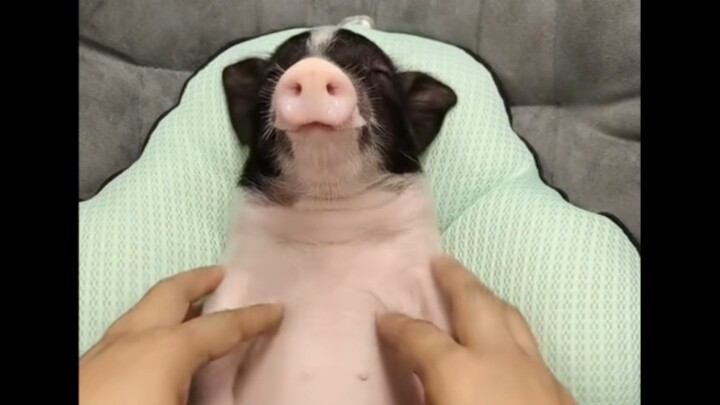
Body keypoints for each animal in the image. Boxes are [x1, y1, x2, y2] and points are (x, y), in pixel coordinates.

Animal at [191, 26, 458, 405]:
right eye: (272, 73)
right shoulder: (235, 284)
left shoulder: (424, 282)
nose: (313, 69)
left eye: (378, 72)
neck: (329, 221)